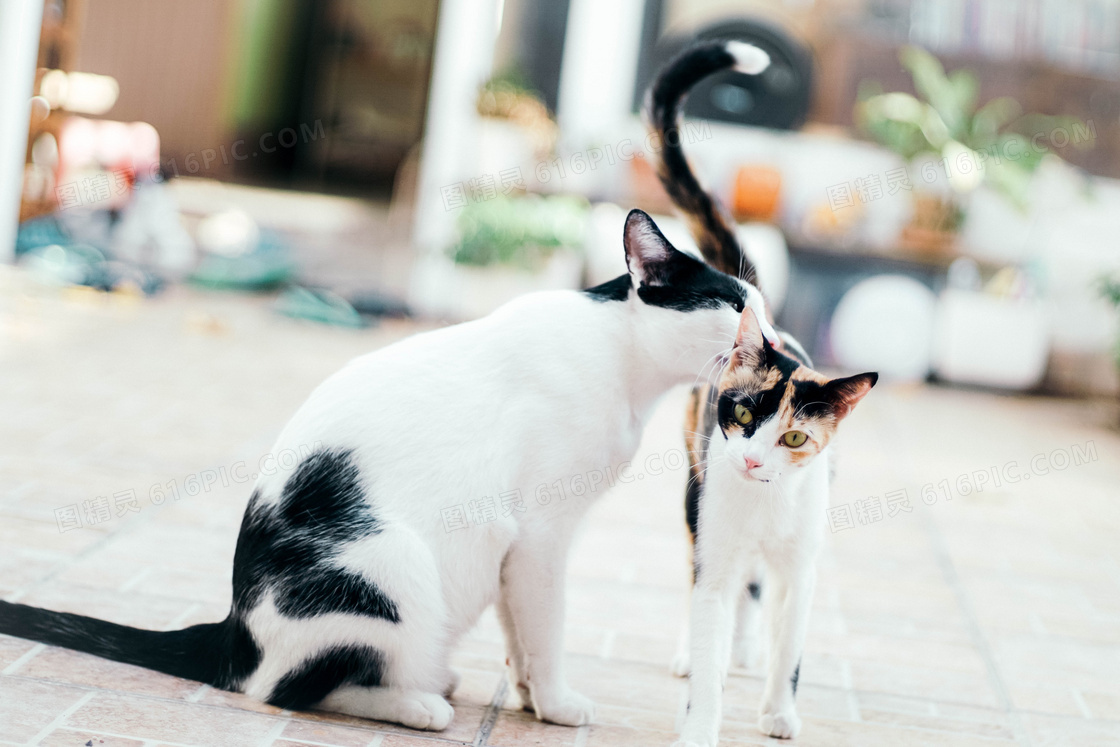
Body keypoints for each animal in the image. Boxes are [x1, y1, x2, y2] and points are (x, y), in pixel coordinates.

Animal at [0, 36, 779, 730]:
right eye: (734, 307)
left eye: (763, 307)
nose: (777, 340)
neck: (622, 362)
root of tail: (232, 631)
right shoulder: (539, 534)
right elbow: (545, 625)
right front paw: (557, 702)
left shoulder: (518, 549)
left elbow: (518, 634)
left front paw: (530, 697)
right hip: (390, 566)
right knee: (283, 688)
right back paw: (417, 702)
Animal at [672, 304, 873, 743]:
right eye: (743, 411)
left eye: (794, 438)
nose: (752, 461)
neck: (763, 498)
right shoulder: (714, 557)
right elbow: (709, 624)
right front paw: (699, 728)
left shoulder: (800, 571)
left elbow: (789, 647)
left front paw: (780, 712)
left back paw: (745, 646)